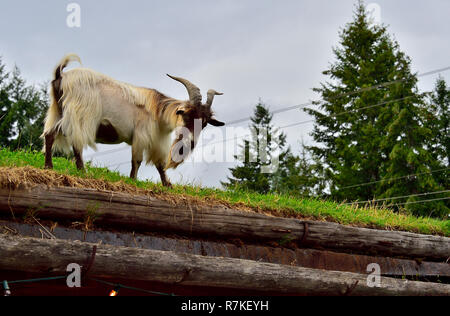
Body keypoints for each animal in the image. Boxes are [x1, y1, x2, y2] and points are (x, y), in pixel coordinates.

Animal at [42, 54, 225, 186]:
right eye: (186, 115)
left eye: (204, 123)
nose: (191, 142)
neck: (157, 110)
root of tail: (61, 76)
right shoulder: (141, 135)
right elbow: (137, 160)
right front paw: (132, 180)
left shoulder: (156, 140)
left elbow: (159, 164)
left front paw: (167, 184)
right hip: (79, 116)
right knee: (76, 142)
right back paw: (82, 171)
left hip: (59, 112)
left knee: (50, 134)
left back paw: (48, 166)